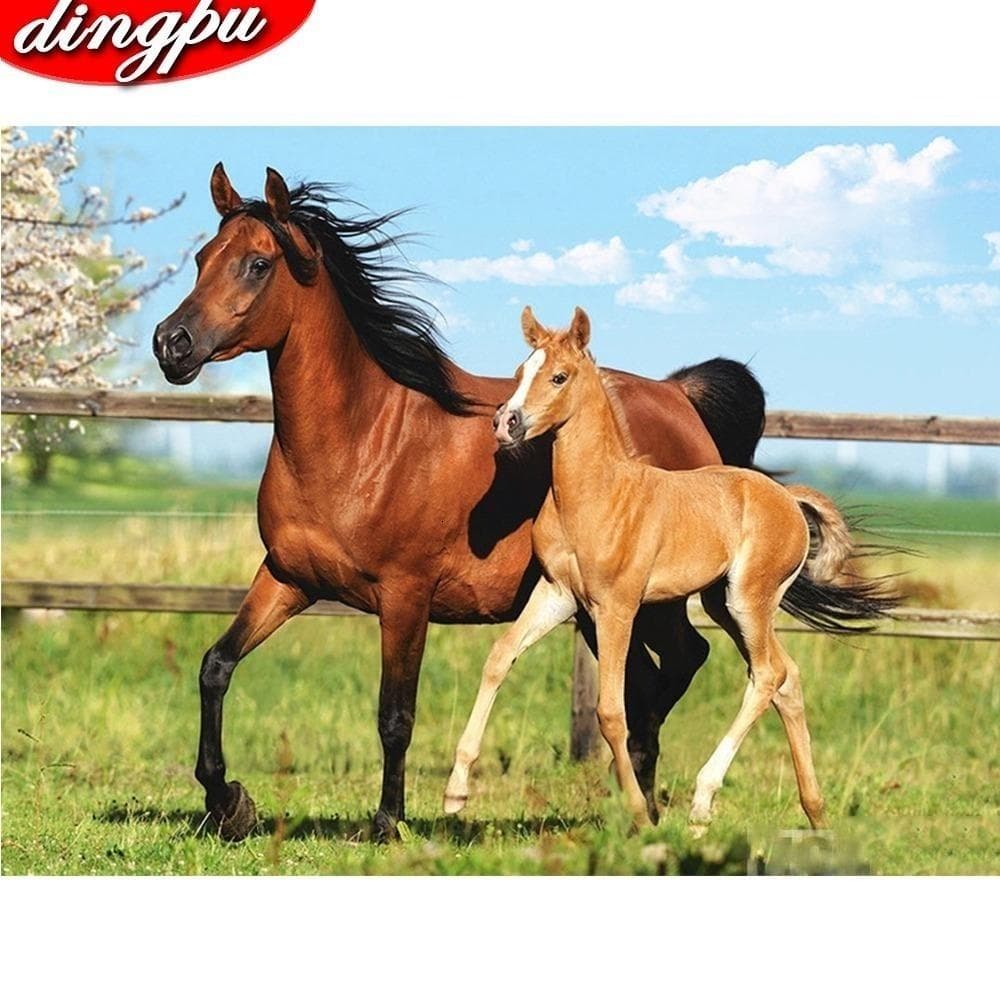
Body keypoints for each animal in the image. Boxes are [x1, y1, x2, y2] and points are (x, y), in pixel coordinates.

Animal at [152, 164, 768, 842]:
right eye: (202, 258)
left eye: (258, 264)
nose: (171, 344)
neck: (362, 440)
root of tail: (678, 396)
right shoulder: (288, 578)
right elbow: (216, 665)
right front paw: (227, 802)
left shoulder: (405, 597)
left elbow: (395, 714)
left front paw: (388, 823)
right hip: (596, 607)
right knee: (649, 680)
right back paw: (639, 807)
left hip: (649, 598)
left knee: (681, 664)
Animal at [444, 307, 896, 830]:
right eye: (519, 373)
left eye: (559, 376)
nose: (505, 423)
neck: (595, 494)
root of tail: (787, 498)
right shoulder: (557, 594)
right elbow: (499, 658)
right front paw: (456, 792)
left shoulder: (616, 607)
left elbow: (611, 710)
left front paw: (639, 814)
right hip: (724, 604)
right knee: (787, 677)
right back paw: (816, 813)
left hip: (749, 599)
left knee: (766, 675)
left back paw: (703, 804)